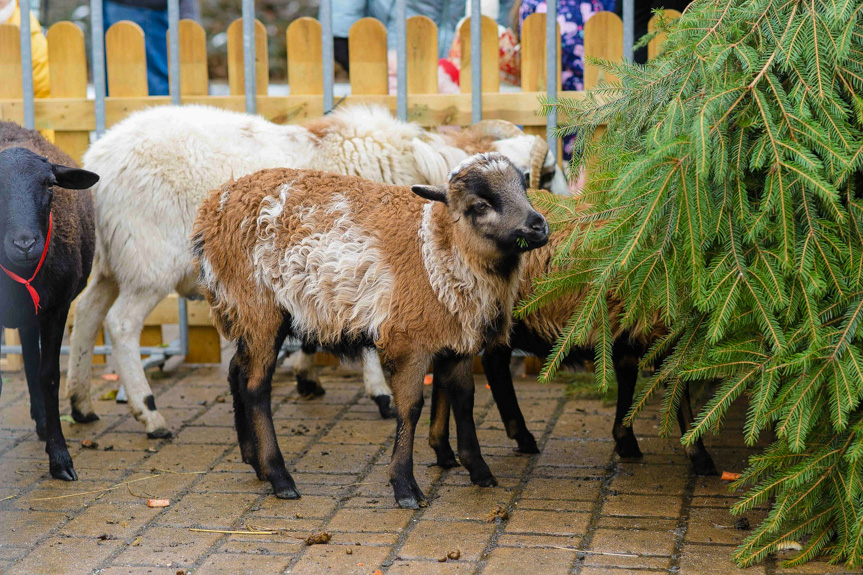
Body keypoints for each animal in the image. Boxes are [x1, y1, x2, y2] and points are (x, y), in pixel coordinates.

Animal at [0, 124, 98, 484]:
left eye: (49, 184)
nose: (25, 243)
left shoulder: (56, 308)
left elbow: (49, 376)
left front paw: (59, 458)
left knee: (31, 359)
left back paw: (42, 423)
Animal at [66, 103, 568, 436]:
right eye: (540, 176)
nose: (548, 226)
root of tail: (97, 161)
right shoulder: (369, 265)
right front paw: (382, 395)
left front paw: (308, 376)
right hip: (147, 261)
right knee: (120, 325)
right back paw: (149, 414)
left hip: (111, 259)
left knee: (86, 314)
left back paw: (82, 404)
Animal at [192, 154, 552, 508]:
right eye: (479, 205)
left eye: (524, 188)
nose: (539, 225)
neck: (437, 250)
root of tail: (214, 204)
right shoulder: (408, 340)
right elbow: (411, 408)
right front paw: (404, 486)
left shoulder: (459, 340)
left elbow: (464, 400)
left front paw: (479, 471)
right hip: (259, 308)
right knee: (256, 387)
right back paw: (279, 477)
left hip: (245, 314)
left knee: (237, 371)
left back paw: (253, 460)